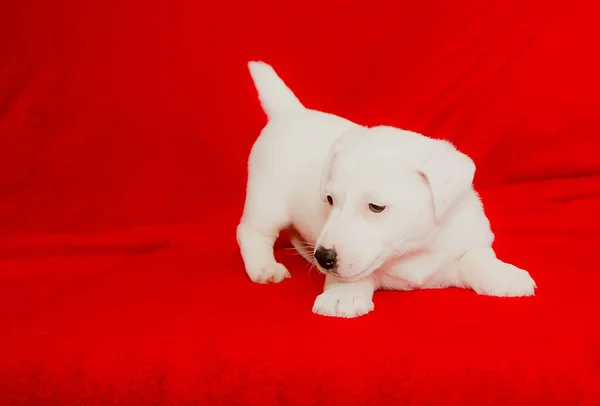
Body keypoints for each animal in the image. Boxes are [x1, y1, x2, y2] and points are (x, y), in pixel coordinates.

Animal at [237, 61, 536, 318]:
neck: (413, 250)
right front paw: (341, 294)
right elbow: (355, 274)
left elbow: (478, 258)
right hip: (267, 203)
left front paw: (504, 275)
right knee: (252, 232)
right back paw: (265, 266)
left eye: (376, 207)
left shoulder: (469, 241)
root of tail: (290, 113)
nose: (324, 257)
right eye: (330, 200)